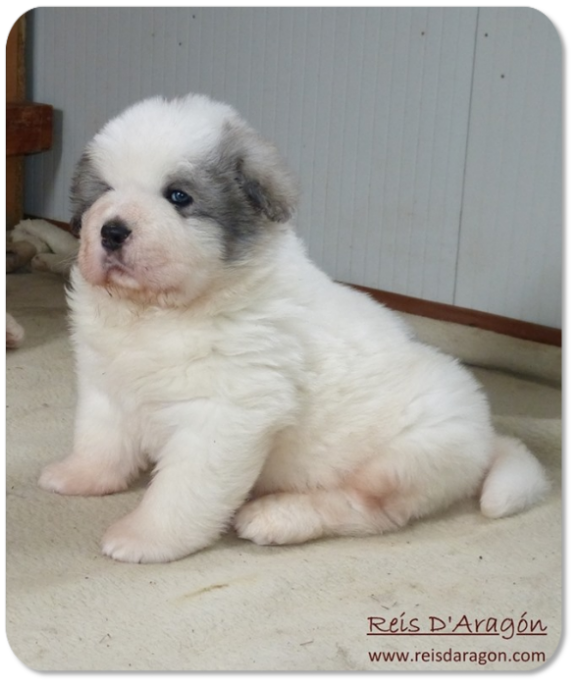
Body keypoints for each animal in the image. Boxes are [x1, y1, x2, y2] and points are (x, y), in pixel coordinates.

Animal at [38, 92, 548, 564]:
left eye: (178, 197)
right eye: (105, 190)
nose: (111, 230)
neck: (158, 313)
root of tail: (487, 436)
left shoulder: (224, 414)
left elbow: (182, 490)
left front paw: (144, 538)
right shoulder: (106, 383)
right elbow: (100, 440)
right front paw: (77, 475)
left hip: (402, 460)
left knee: (365, 510)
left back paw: (276, 518)